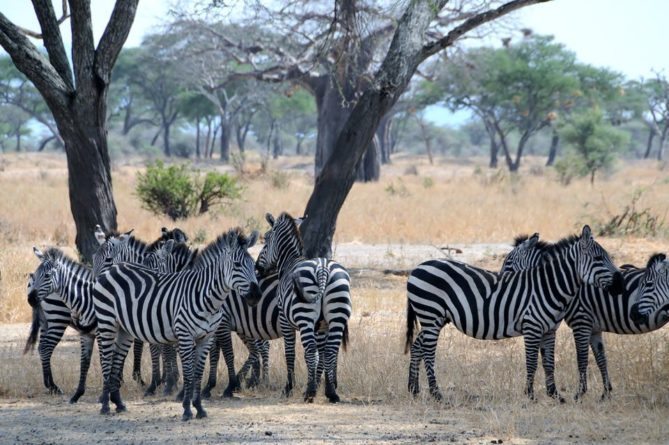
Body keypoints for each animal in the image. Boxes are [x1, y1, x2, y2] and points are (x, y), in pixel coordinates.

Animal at [92, 228, 261, 420]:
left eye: (253, 264)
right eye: (237, 265)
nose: (256, 295)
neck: (206, 295)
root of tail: (114, 269)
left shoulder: (206, 337)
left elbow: (197, 373)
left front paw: (198, 407)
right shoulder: (183, 334)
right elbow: (187, 371)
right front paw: (186, 407)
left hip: (124, 330)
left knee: (116, 360)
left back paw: (118, 403)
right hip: (107, 322)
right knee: (106, 360)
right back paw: (105, 405)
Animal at [255, 212, 352, 403]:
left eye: (266, 239)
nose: (257, 268)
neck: (289, 262)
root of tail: (323, 268)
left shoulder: (285, 320)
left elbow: (291, 353)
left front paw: (289, 388)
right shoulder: (321, 326)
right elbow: (322, 354)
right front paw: (320, 384)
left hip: (304, 316)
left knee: (309, 351)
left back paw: (310, 393)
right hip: (337, 315)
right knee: (331, 350)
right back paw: (331, 393)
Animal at [405, 225, 624, 401]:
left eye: (606, 257)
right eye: (598, 259)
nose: (621, 284)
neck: (548, 286)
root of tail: (417, 267)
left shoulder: (549, 330)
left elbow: (549, 363)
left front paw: (555, 395)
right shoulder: (532, 327)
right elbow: (532, 362)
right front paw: (530, 395)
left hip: (435, 318)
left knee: (418, 346)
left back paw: (414, 389)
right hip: (431, 314)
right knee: (428, 352)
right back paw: (436, 394)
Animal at [502, 234, 669, 400]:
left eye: (508, 262)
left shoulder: (581, 322)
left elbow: (581, 359)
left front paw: (579, 394)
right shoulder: (594, 328)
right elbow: (601, 359)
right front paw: (606, 393)